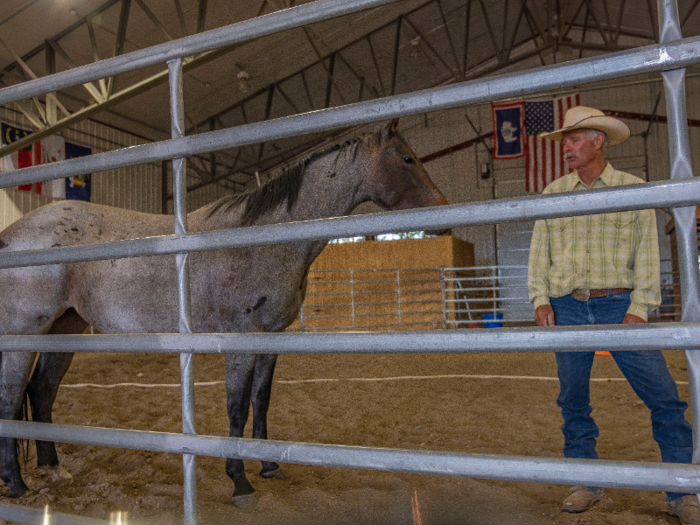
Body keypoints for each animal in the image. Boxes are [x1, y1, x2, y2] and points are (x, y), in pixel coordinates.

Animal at [0, 118, 448, 504]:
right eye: (406, 158)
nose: (443, 211)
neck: (261, 238)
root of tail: (13, 234)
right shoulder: (238, 339)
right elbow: (236, 407)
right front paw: (239, 480)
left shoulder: (270, 338)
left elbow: (261, 401)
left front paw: (268, 467)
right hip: (24, 334)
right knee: (11, 399)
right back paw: (17, 484)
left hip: (65, 328)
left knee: (42, 391)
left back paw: (53, 468)